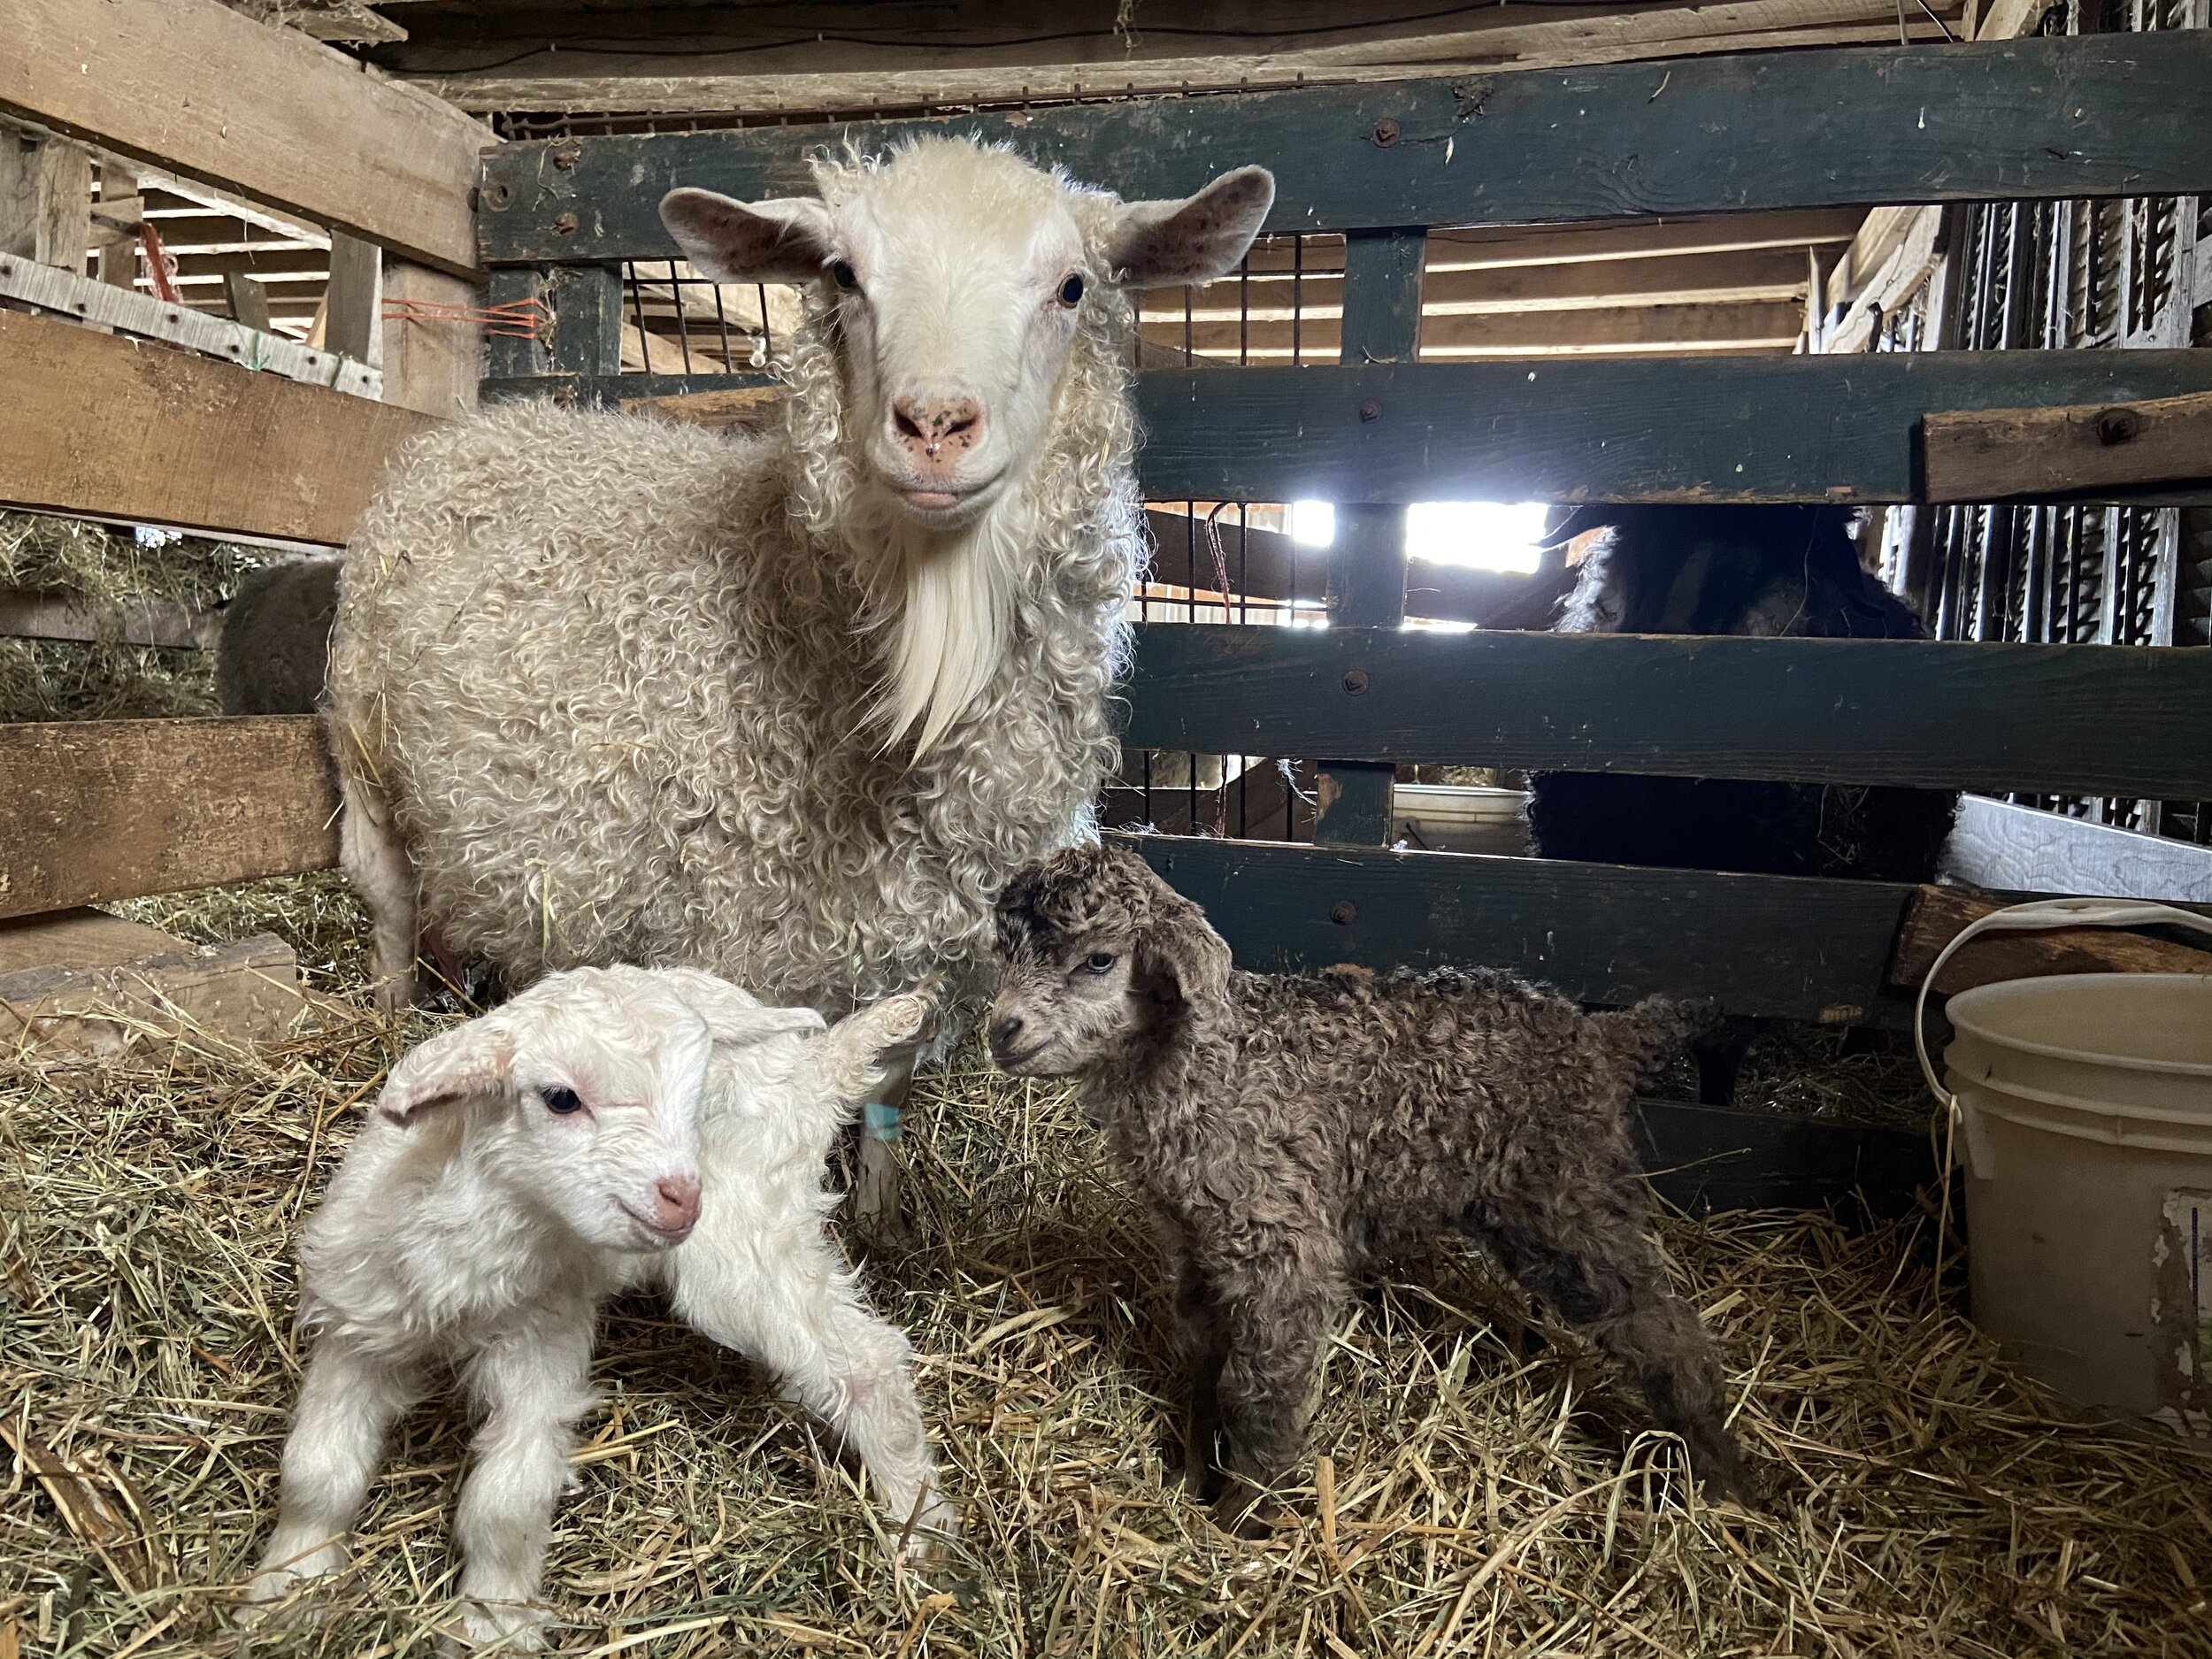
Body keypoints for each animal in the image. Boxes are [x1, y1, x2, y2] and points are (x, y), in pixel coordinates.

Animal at [249, 969, 951, 1655]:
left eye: (694, 1099)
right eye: (560, 1098)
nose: (681, 1197)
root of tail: (816, 1068)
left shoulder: (540, 1353)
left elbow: (506, 1503)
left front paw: (493, 1624)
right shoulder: (359, 1324)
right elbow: (316, 1470)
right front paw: (288, 1587)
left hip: (744, 1242)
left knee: (866, 1361)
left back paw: (922, 1528)